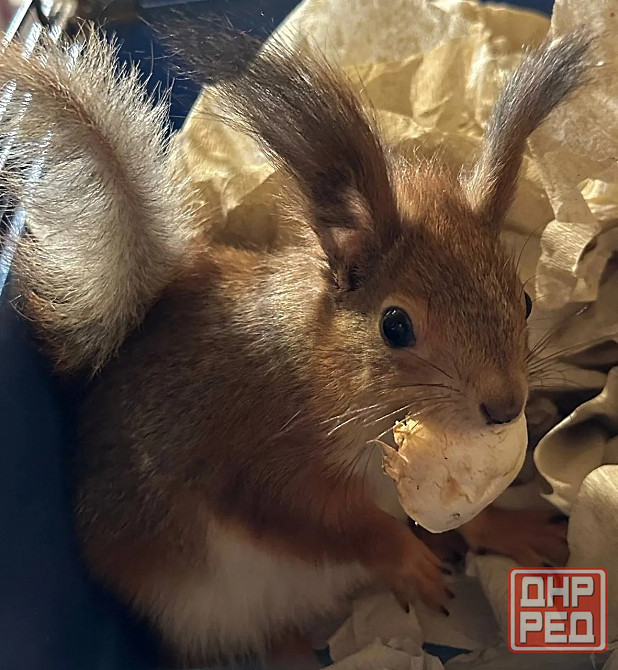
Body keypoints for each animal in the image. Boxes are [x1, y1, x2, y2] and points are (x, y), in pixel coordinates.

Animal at [0, 24, 590, 666]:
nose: (506, 406)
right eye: (395, 326)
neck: (321, 376)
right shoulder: (258, 467)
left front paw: (506, 527)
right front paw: (407, 560)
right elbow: (325, 527)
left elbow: (458, 515)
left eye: (525, 299)